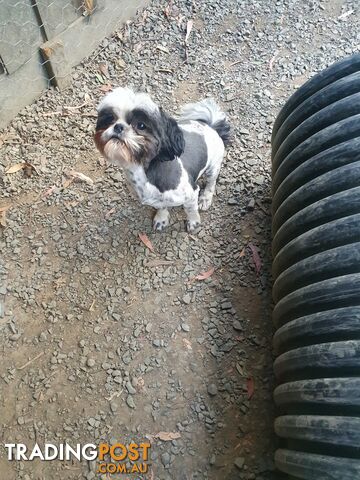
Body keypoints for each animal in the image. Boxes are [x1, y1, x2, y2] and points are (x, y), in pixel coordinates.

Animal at [95, 89, 231, 233]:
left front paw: (193, 222)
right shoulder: (158, 200)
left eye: (141, 125)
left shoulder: (191, 193)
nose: (118, 126)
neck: (140, 171)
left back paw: (205, 198)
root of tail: (210, 126)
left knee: (211, 182)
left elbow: (191, 210)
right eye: (110, 119)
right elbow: (162, 206)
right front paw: (162, 218)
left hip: (213, 167)